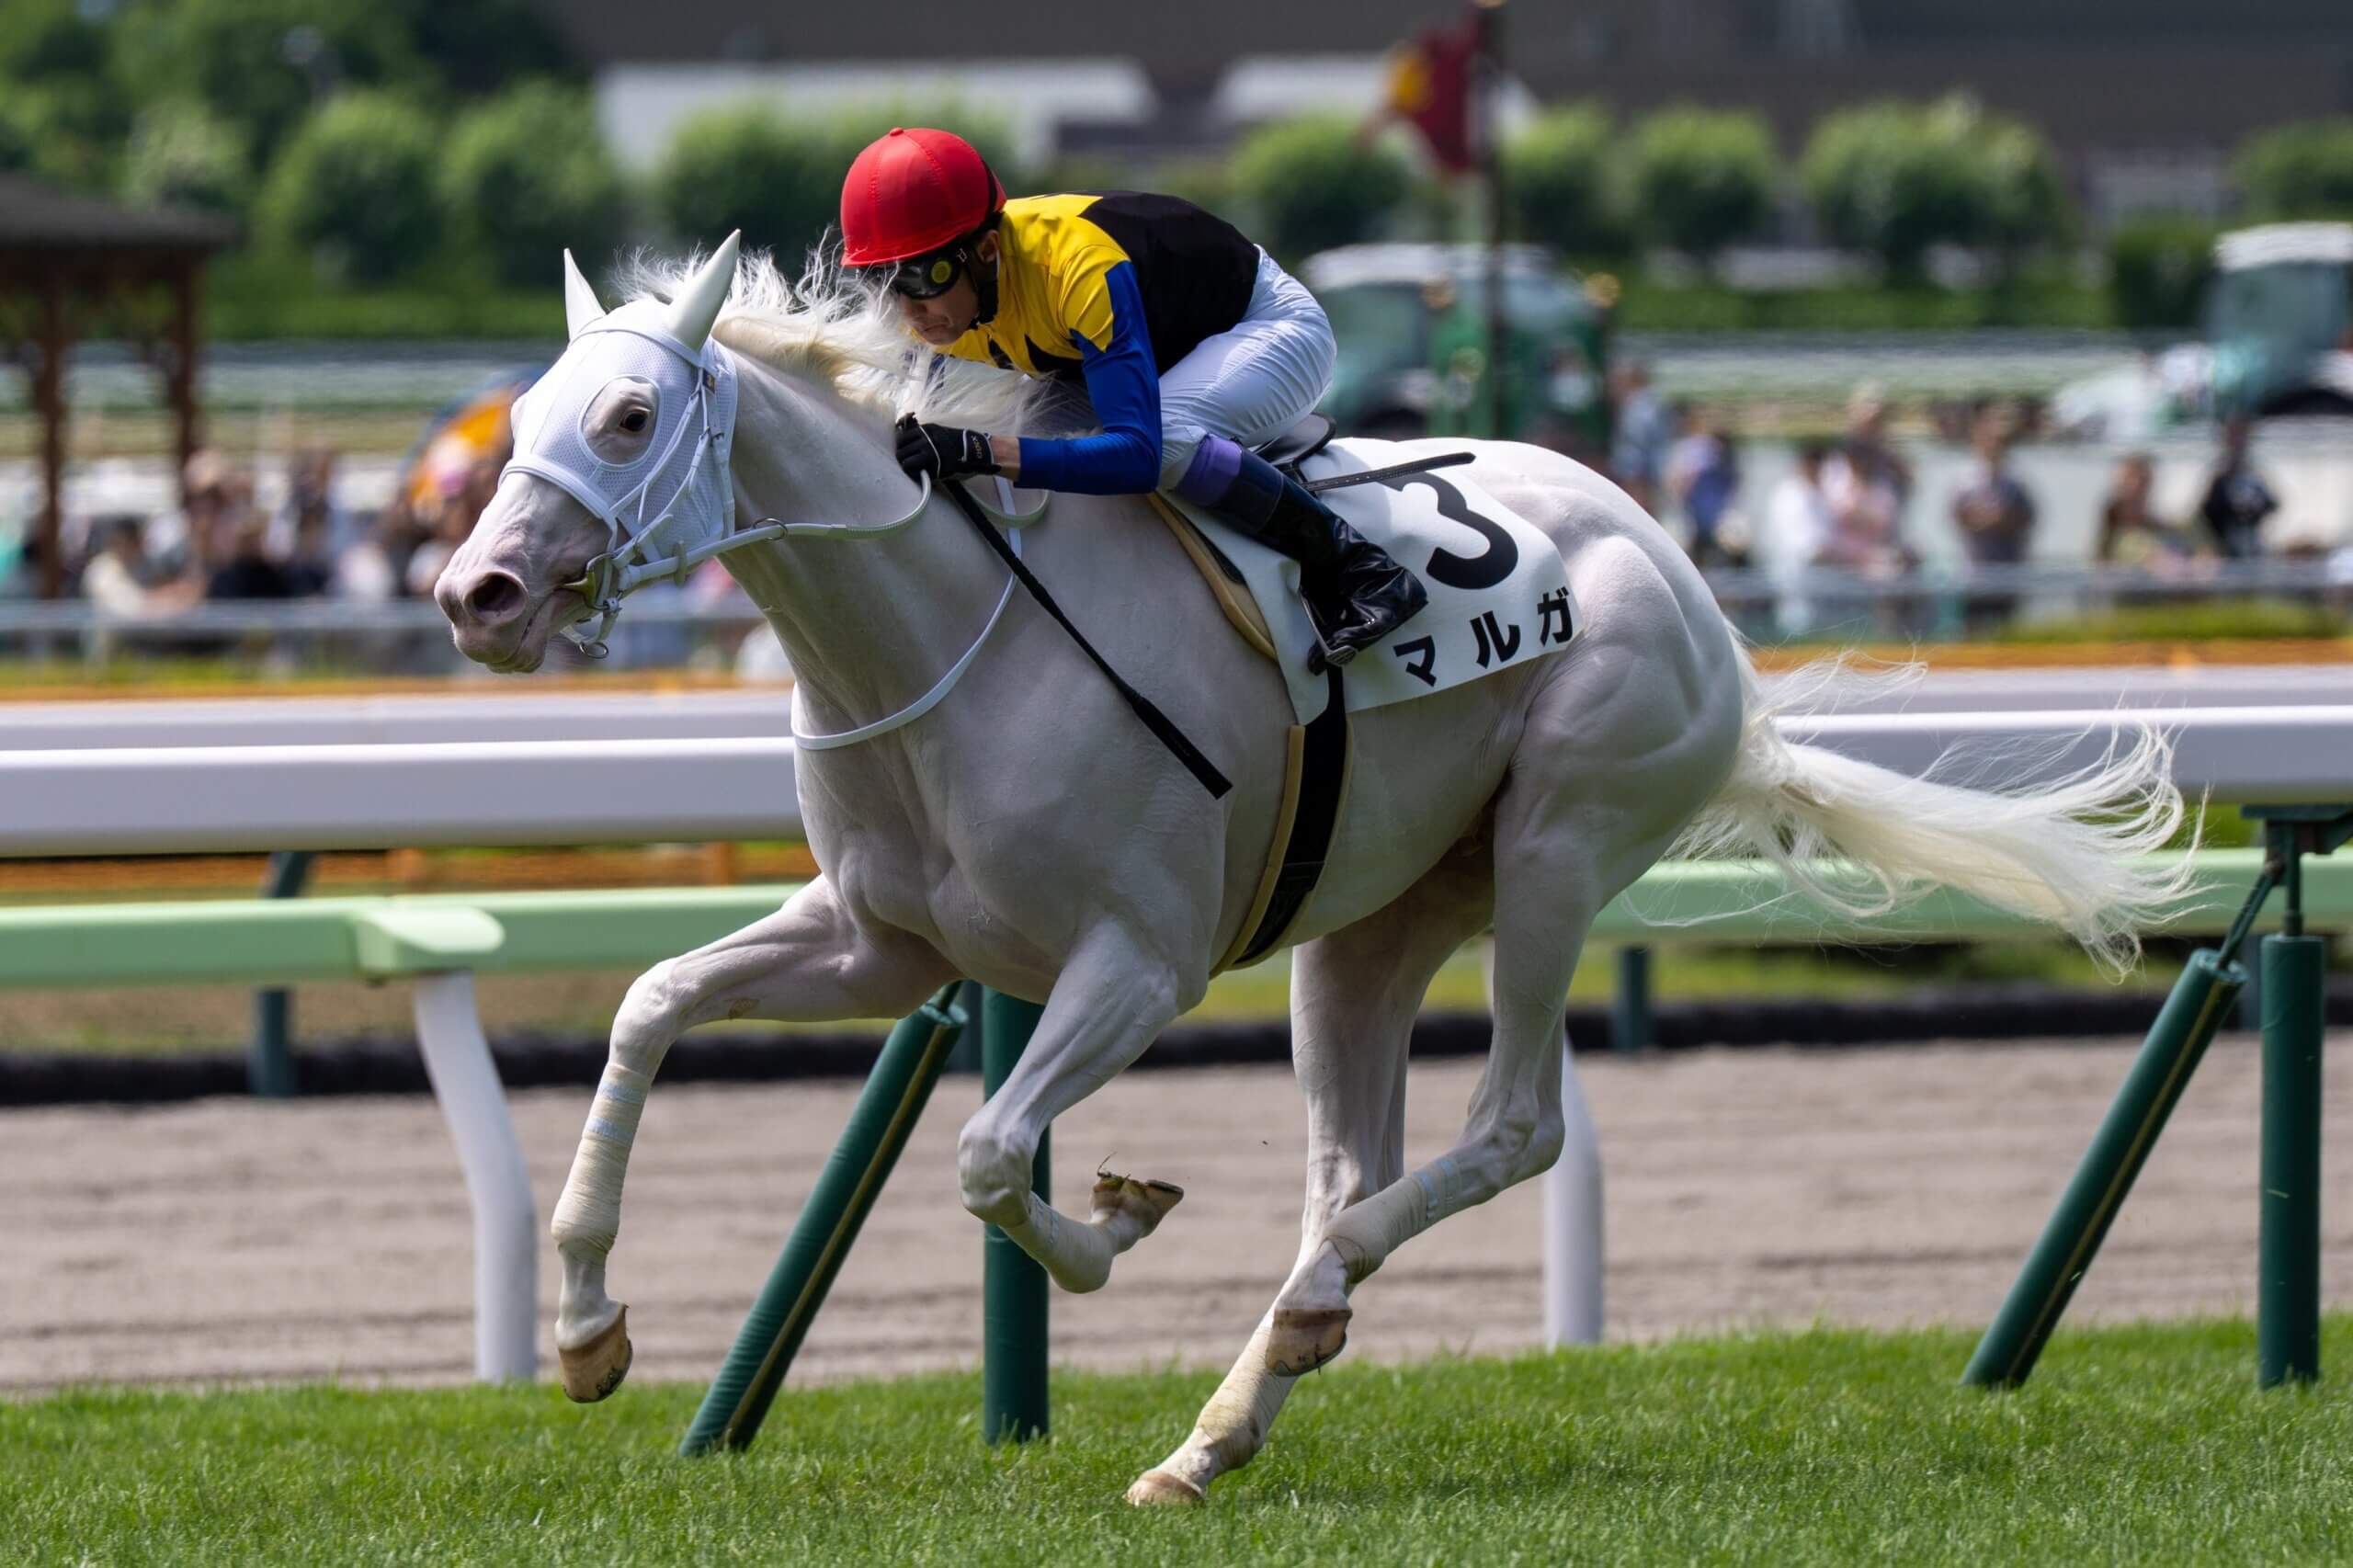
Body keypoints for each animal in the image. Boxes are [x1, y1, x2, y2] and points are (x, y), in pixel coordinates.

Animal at [435, 236, 2187, 1505]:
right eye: (518, 419)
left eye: (630, 419)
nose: (477, 592)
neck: (944, 636)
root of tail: (1693, 596)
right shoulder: (882, 942)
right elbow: (652, 1003)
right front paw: (586, 1331)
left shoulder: (1139, 961)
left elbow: (991, 1155)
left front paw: (1116, 1220)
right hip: (1373, 922)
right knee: (1351, 1167)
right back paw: (1222, 1422)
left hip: (1560, 839)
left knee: (1517, 1125)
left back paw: (1293, 1319)